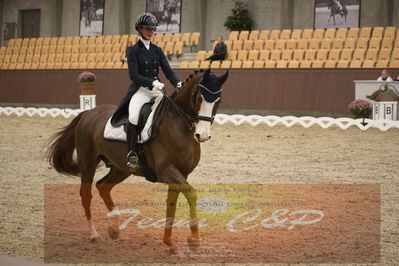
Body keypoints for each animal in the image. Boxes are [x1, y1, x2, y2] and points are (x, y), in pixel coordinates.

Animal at [47, 68, 228, 254]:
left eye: (218, 101)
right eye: (199, 98)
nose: (202, 135)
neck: (179, 126)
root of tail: (88, 113)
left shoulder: (180, 174)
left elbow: (172, 203)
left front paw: (170, 243)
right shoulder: (166, 172)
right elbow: (191, 194)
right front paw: (194, 240)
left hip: (121, 168)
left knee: (103, 186)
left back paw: (115, 229)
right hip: (88, 164)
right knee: (86, 194)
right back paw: (94, 234)